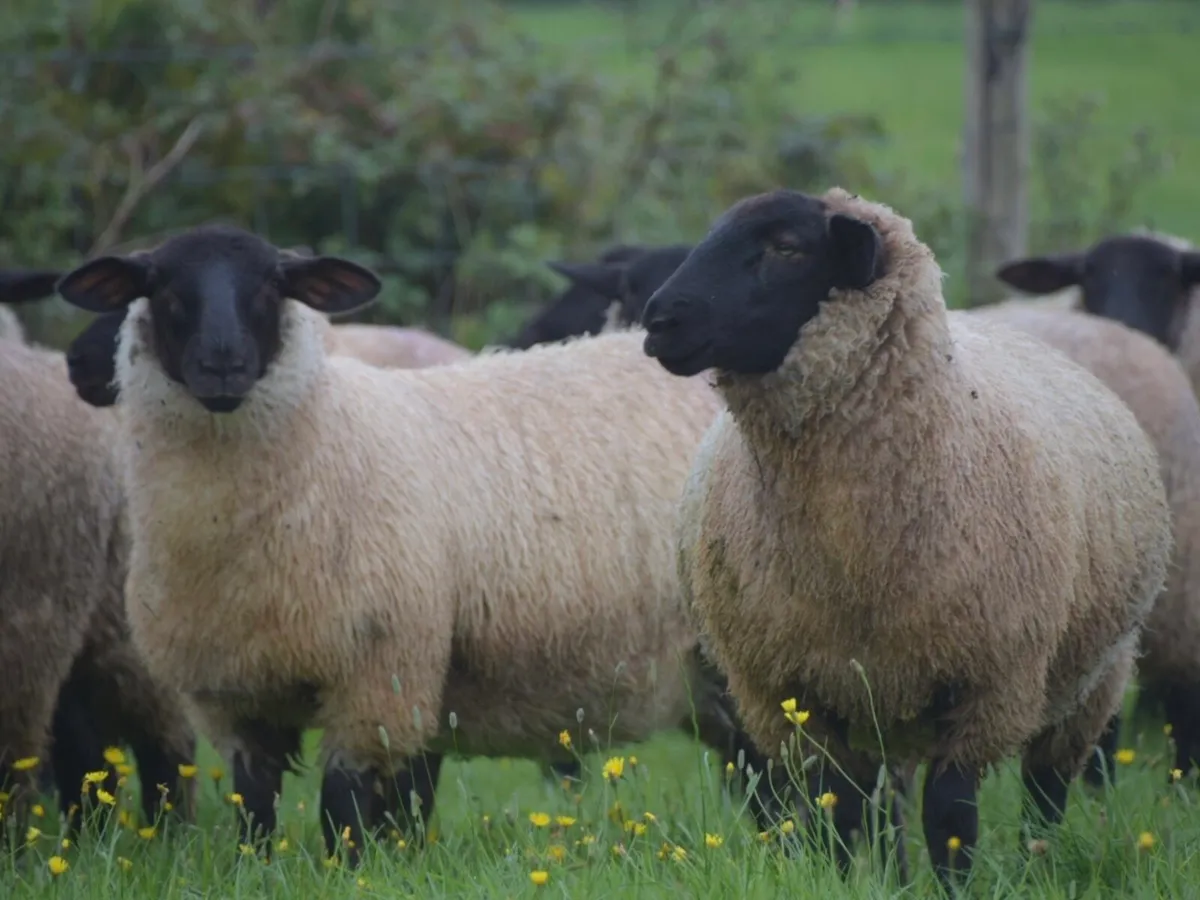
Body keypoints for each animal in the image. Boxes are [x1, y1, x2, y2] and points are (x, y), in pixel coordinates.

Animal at [54, 224, 771, 864]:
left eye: (270, 286)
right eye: (161, 286)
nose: (223, 365)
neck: (326, 432)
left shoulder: (377, 669)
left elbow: (343, 803)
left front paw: (348, 873)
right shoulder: (233, 691)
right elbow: (254, 807)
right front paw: (259, 869)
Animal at [639, 187, 1172, 890]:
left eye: (787, 248)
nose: (658, 320)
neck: (850, 549)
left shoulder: (985, 684)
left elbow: (950, 820)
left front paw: (952, 889)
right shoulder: (794, 691)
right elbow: (836, 812)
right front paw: (843, 883)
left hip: (1094, 677)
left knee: (1046, 788)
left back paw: (1036, 864)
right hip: (876, 701)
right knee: (877, 802)